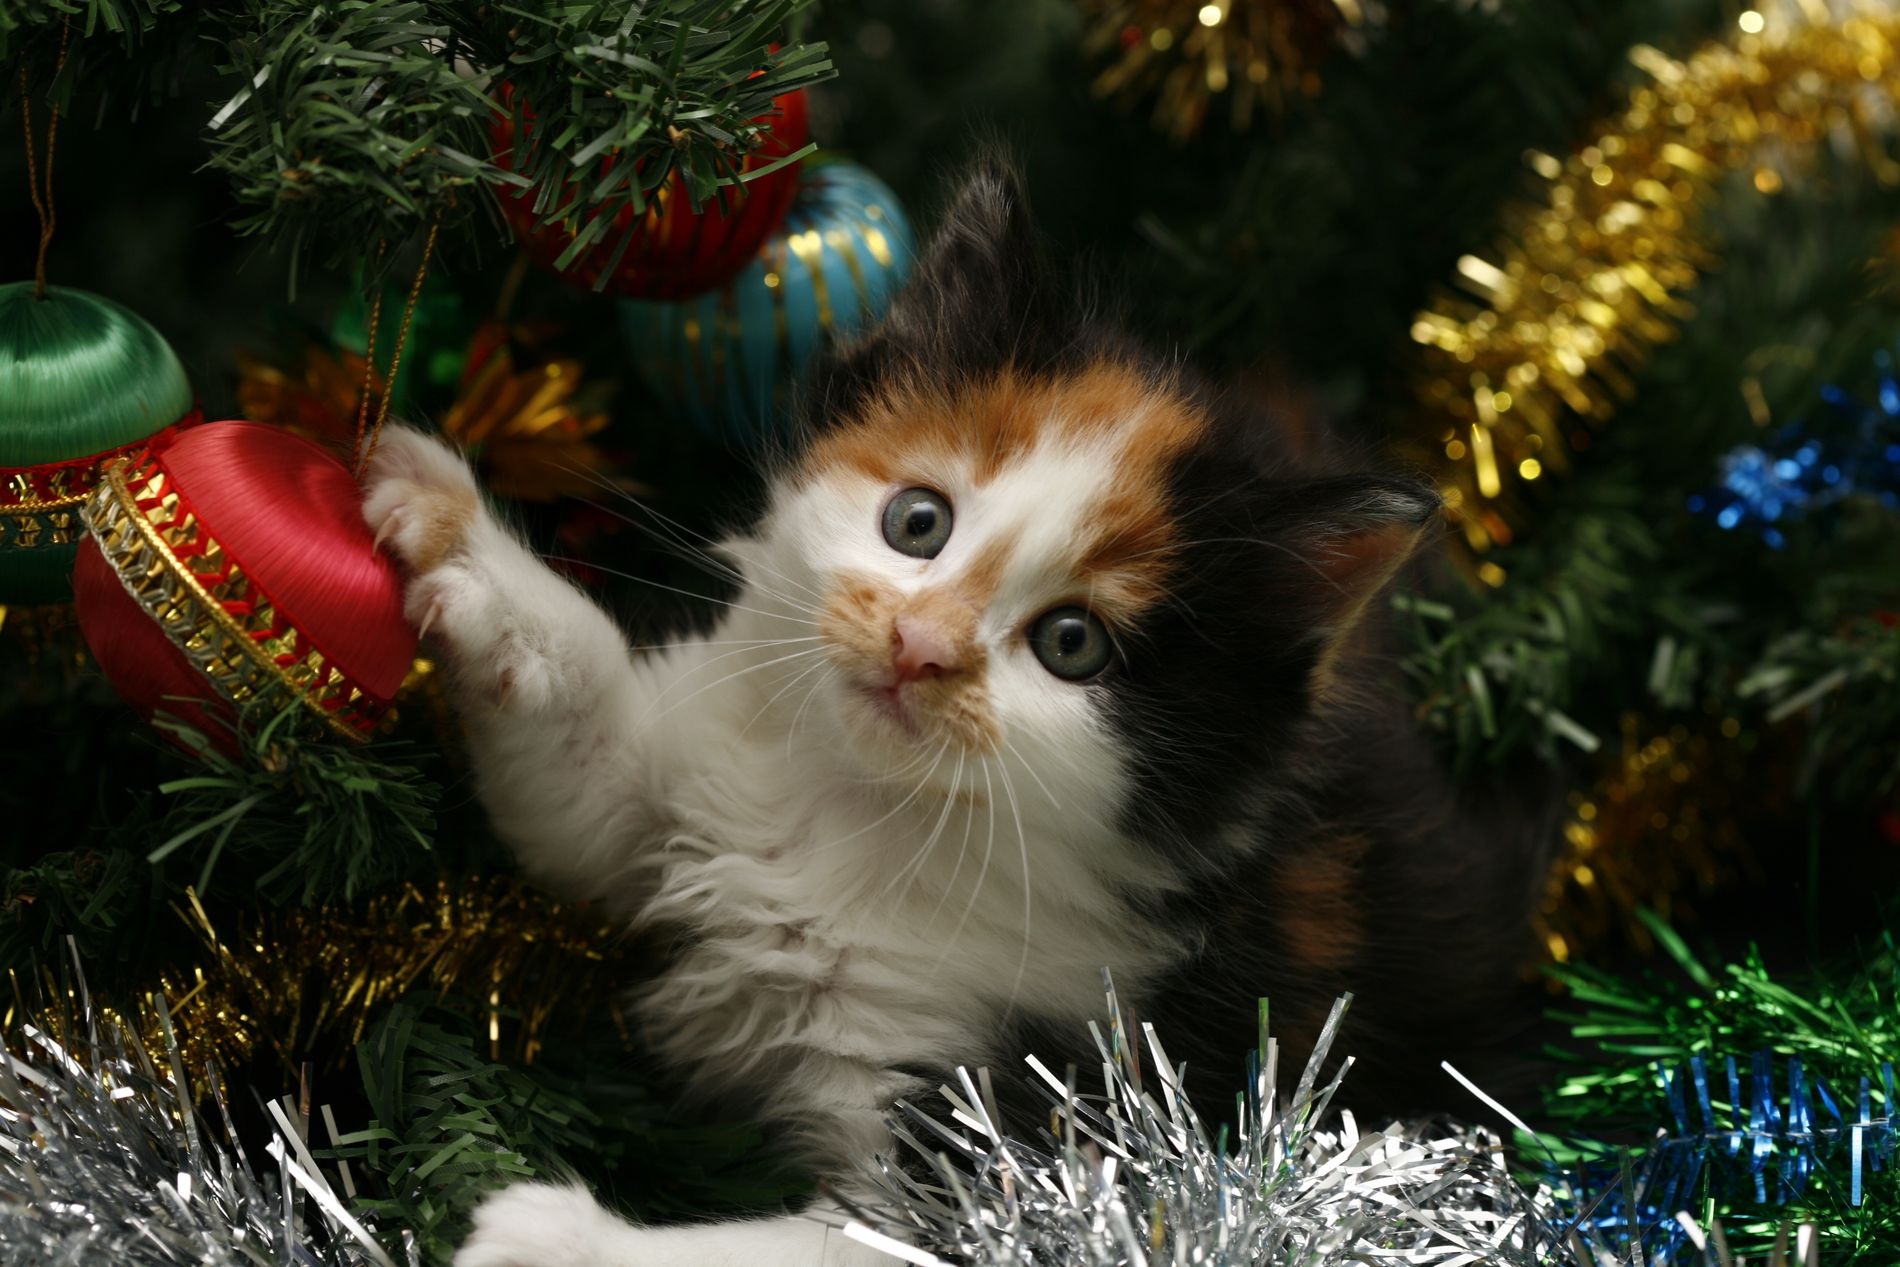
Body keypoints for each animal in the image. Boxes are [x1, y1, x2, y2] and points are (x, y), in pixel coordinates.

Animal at [366, 161, 1558, 1267]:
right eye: (918, 521)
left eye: (1072, 643)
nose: (920, 645)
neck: (864, 815)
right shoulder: (664, 797)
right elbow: (581, 761)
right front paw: (451, 528)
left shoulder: (1038, 1119)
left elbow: (846, 1243)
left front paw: (548, 1236)